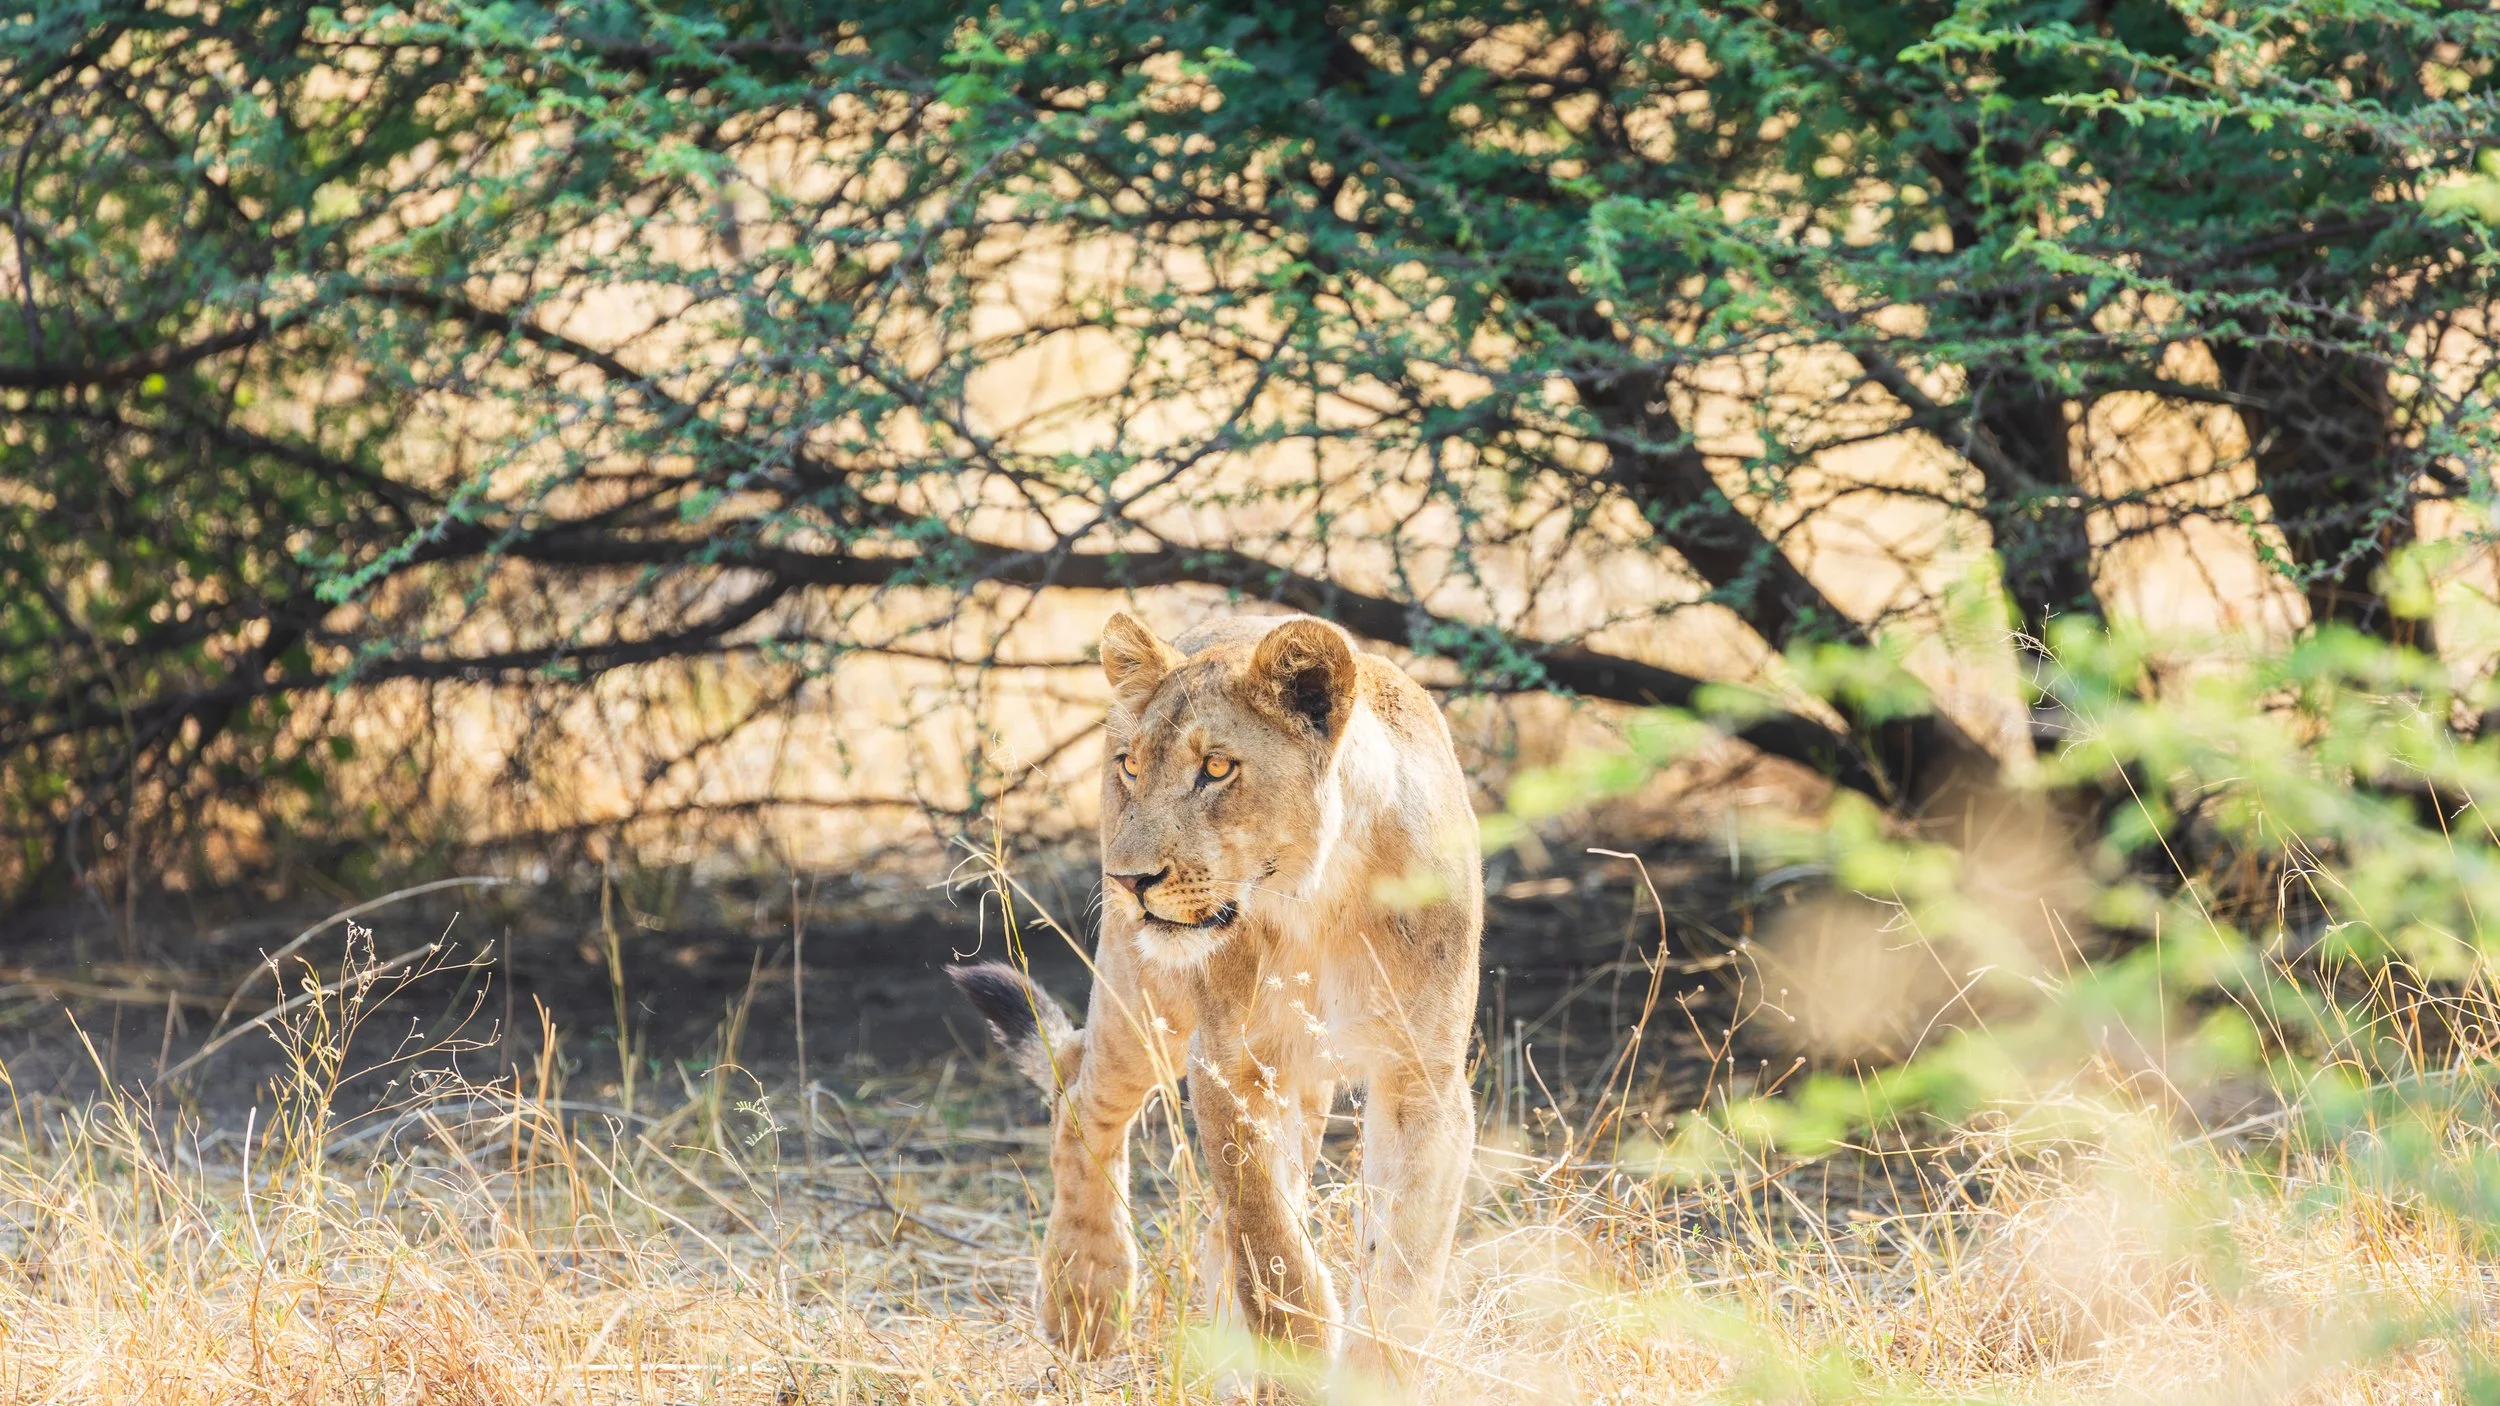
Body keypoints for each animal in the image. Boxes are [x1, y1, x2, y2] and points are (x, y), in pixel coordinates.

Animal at [950, 610, 1483, 1392]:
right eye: (1130, 766)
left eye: (1218, 769)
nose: (1129, 880)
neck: (1319, 897)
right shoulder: (1228, 1064)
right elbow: (1267, 1234)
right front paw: (1296, 1354)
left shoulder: (1423, 1078)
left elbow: (1403, 1255)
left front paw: (1371, 1375)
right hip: (1143, 1001)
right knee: (1080, 1093)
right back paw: (1085, 1298)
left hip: (1301, 1080)